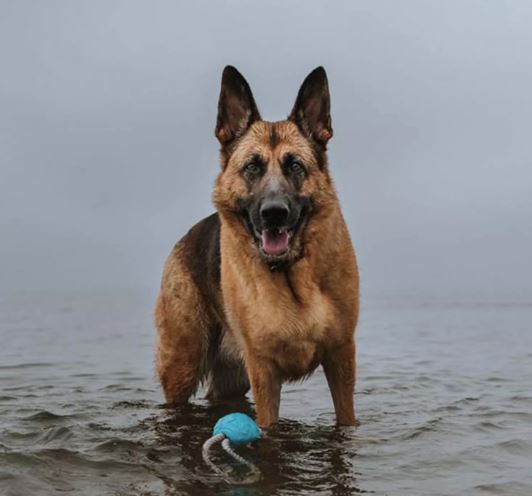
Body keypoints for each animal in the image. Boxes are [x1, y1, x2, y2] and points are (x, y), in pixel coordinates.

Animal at [154, 66, 359, 428]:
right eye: (252, 166)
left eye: (295, 166)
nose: (273, 213)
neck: (291, 276)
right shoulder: (264, 371)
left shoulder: (341, 358)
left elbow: (346, 419)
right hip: (183, 363)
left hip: (232, 379)